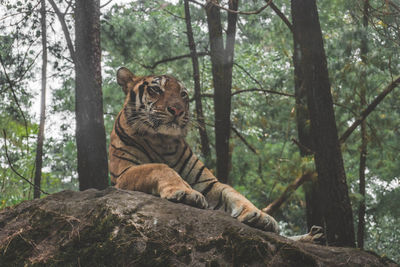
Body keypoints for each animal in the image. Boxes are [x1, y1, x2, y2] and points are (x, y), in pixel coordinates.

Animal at [108, 67, 278, 234]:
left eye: (183, 94)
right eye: (155, 89)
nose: (177, 110)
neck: (162, 141)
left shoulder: (208, 183)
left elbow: (233, 192)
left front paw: (260, 215)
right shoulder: (124, 173)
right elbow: (158, 167)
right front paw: (185, 191)